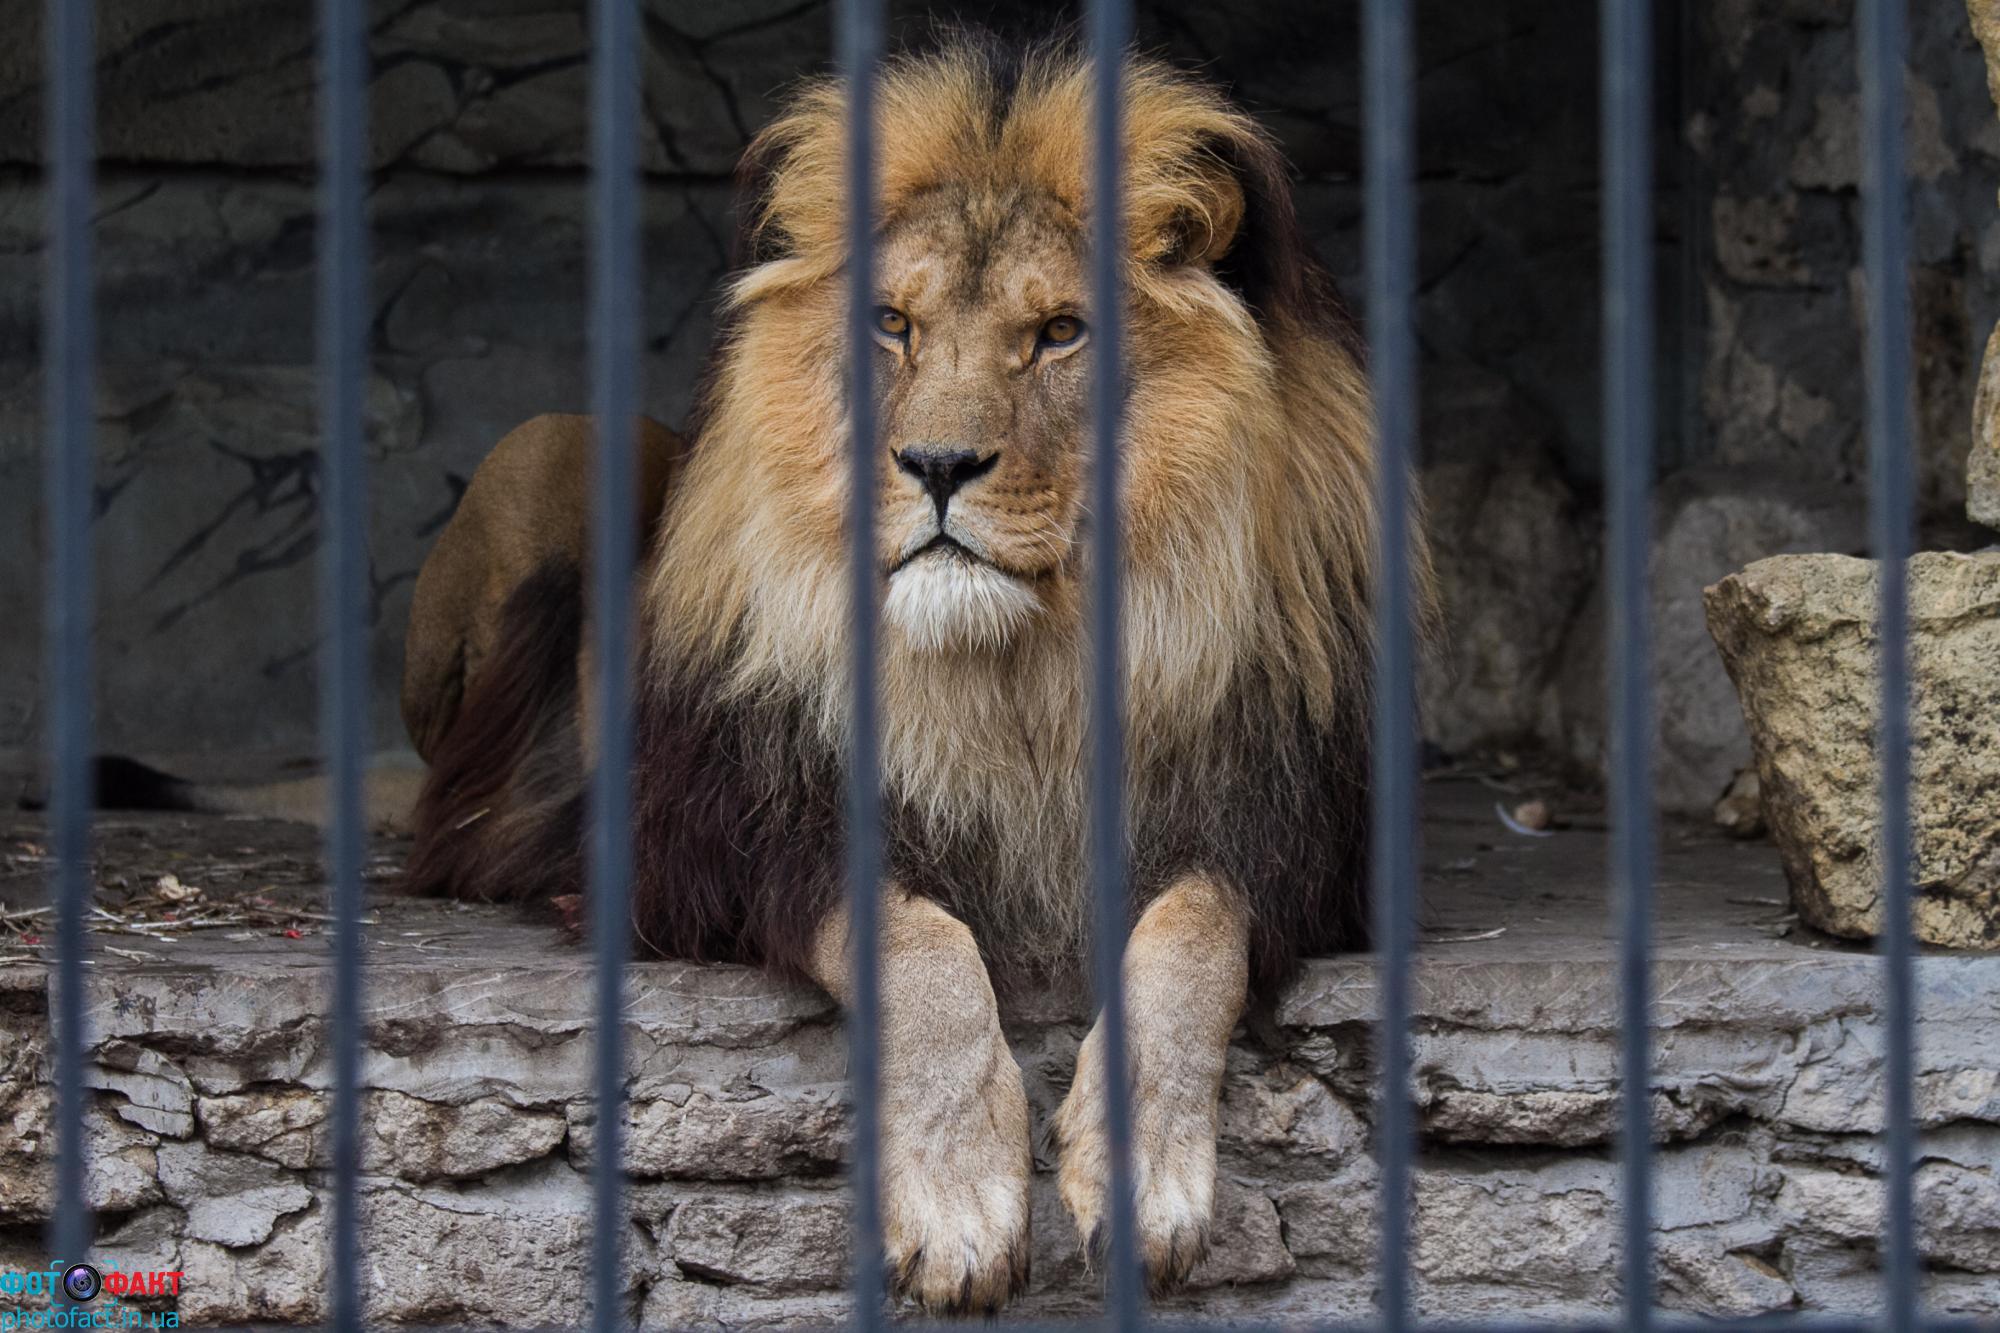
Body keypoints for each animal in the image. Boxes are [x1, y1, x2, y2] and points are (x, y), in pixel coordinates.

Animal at [406, 39, 1408, 1304]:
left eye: (1060, 332)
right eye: (891, 323)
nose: (934, 463)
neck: (1018, 673)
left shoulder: (1294, 829)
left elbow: (1191, 940)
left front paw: (1141, 1183)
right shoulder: (714, 840)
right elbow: (915, 946)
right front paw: (959, 1208)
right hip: (551, 443)